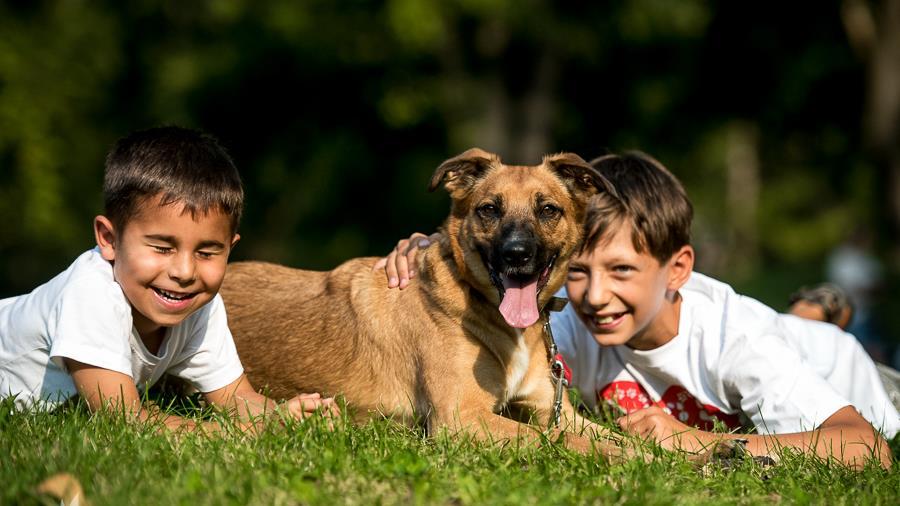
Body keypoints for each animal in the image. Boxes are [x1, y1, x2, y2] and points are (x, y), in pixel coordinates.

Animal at [221, 148, 624, 456]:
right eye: (489, 209)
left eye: (548, 210)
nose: (516, 254)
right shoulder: (462, 417)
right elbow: (558, 437)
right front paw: (617, 458)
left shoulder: (553, 409)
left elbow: (610, 434)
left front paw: (636, 452)